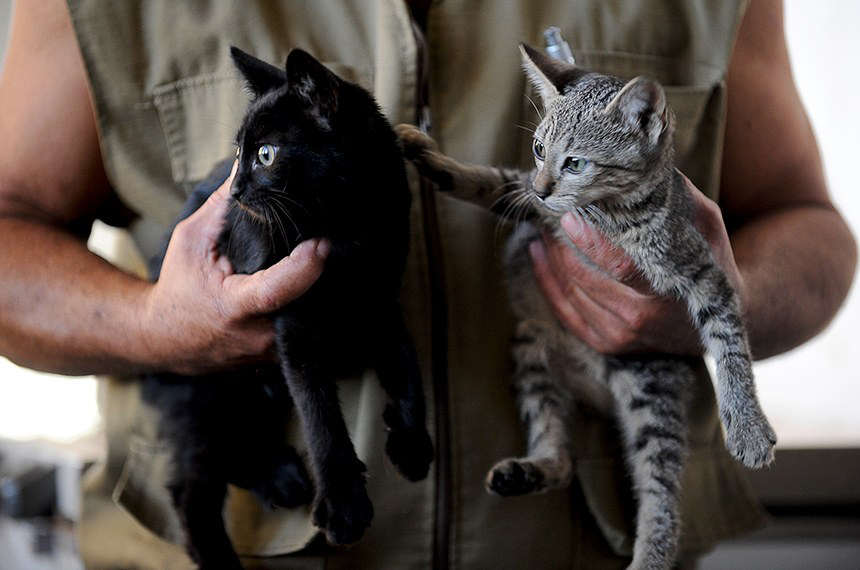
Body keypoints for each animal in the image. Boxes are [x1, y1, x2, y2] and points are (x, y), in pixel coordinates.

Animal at [144, 48, 436, 568]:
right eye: (239, 154)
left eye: (266, 154)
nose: (234, 192)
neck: (348, 233)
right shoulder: (294, 330)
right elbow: (320, 418)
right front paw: (343, 503)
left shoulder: (382, 300)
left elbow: (406, 367)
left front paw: (410, 441)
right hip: (205, 387)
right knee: (193, 487)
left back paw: (282, 478)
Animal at [400, 45, 776, 568]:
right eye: (539, 149)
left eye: (576, 162)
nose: (543, 188)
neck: (606, 214)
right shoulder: (527, 195)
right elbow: (492, 181)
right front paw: (431, 157)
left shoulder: (704, 271)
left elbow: (730, 343)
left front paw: (748, 427)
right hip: (531, 351)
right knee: (562, 458)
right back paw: (531, 470)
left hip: (649, 383)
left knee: (661, 489)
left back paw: (650, 554)